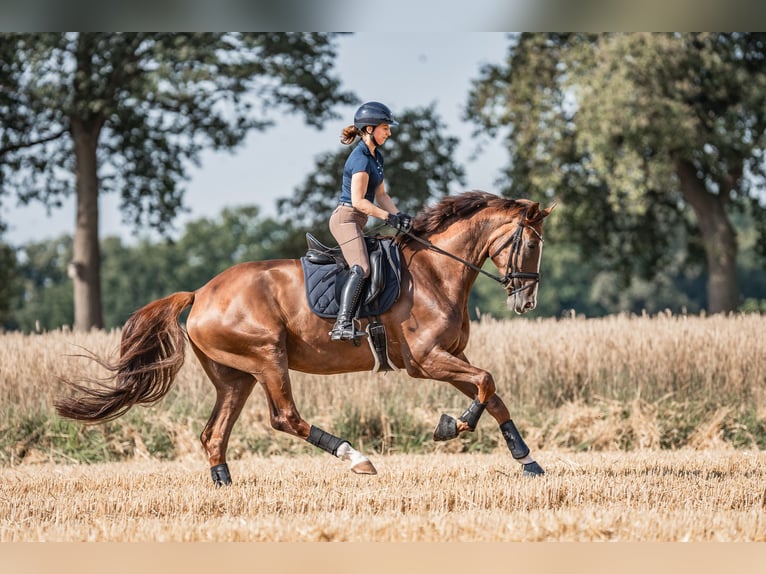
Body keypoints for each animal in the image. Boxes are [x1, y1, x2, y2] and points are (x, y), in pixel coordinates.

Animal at [55, 192, 560, 486]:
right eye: (533, 244)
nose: (527, 300)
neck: (437, 271)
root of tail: (200, 293)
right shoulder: (427, 360)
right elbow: (487, 383)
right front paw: (451, 426)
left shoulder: (450, 355)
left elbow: (491, 393)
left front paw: (528, 461)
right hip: (267, 359)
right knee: (285, 419)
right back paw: (356, 458)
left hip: (235, 376)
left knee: (213, 434)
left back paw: (223, 485)